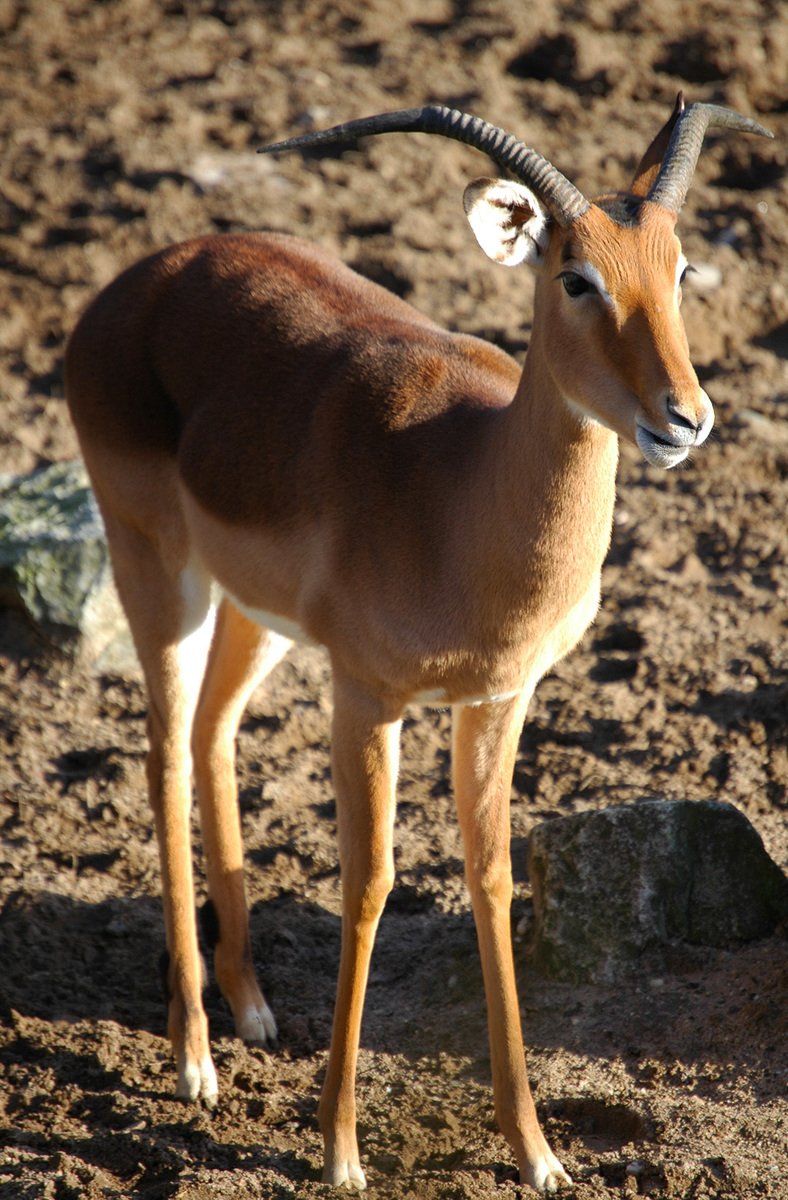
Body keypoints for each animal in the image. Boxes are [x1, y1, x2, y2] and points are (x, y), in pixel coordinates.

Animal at [65, 96, 767, 1190]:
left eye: (679, 267)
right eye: (575, 275)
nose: (683, 418)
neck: (458, 494)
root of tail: (136, 280)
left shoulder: (498, 700)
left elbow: (491, 879)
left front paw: (537, 1153)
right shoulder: (367, 698)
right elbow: (369, 886)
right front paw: (340, 1150)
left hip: (254, 615)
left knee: (213, 733)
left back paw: (251, 1006)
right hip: (158, 572)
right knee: (164, 752)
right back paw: (193, 1059)